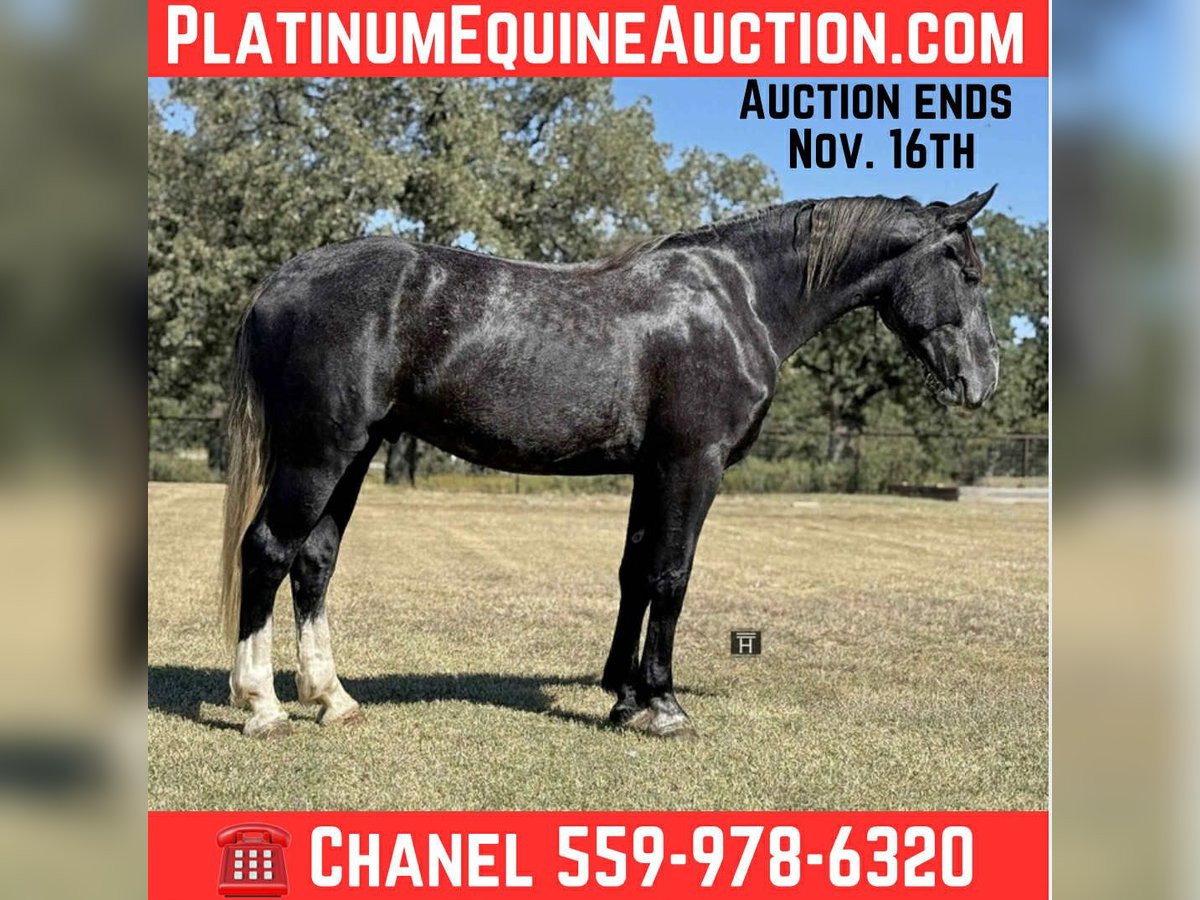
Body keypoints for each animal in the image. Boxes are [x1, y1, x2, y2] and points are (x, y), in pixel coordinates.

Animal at [219, 187, 1000, 738]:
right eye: (966, 272)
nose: (982, 380)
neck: (738, 297)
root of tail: (280, 280)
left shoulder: (651, 470)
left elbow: (634, 572)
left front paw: (623, 696)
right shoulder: (691, 465)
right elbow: (672, 575)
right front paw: (664, 702)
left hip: (355, 454)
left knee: (314, 560)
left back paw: (333, 698)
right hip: (320, 454)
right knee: (267, 550)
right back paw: (262, 706)